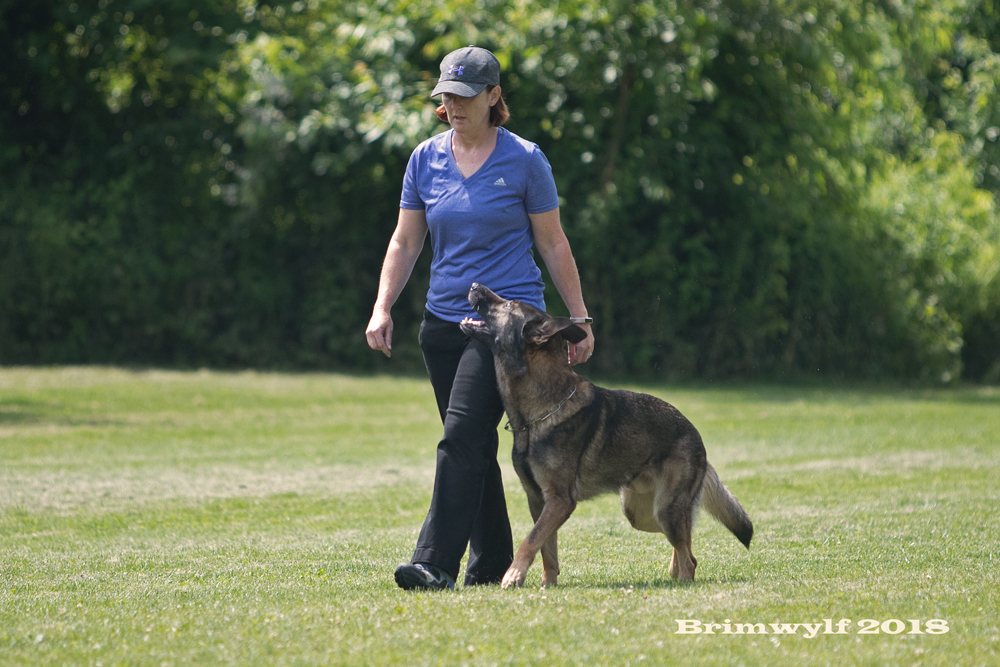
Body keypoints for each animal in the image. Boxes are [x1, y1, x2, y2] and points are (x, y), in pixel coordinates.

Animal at [459, 283, 753, 589]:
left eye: (510, 304)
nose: (474, 286)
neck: (540, 410)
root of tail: (695, 434)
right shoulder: (538, 501)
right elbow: (546, 548)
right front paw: (547, 585)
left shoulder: (560, 501)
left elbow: (530, 540)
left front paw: (513, 575)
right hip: (643, 514)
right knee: (685, 540)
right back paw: (674, 571)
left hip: (665, 511)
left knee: (689, 557)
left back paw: (682, 580)